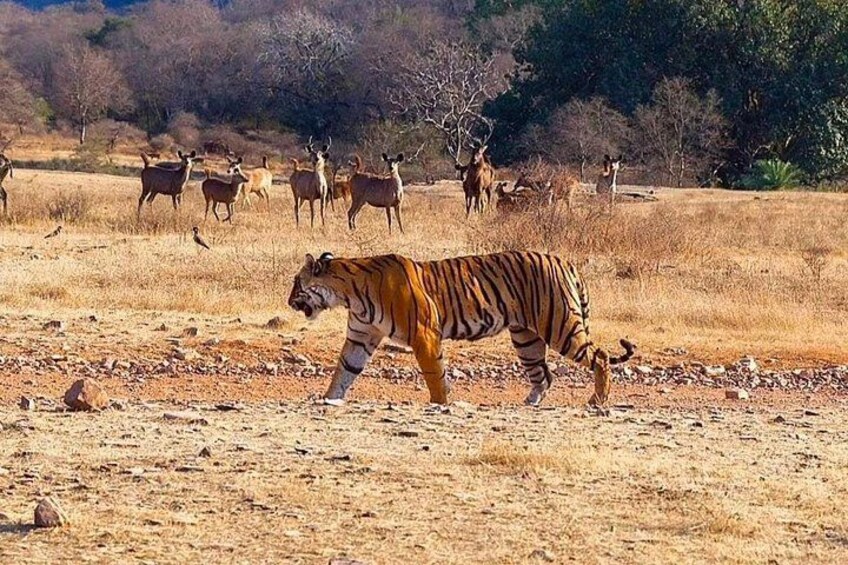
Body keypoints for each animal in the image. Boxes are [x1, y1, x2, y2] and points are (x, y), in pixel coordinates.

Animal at [287, 251, 635, 406]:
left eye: (296, 284)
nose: (289, 301)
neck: (349, 293)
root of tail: (565, 260)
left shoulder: (425, 334)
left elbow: (435, 374)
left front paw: (441, 403)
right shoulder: (361, 337)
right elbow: (344, 371)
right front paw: (329, 398)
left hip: (561, 326)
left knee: (601, 356)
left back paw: (598, 400)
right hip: (526, 338)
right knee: (544, 376)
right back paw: (529, 403)